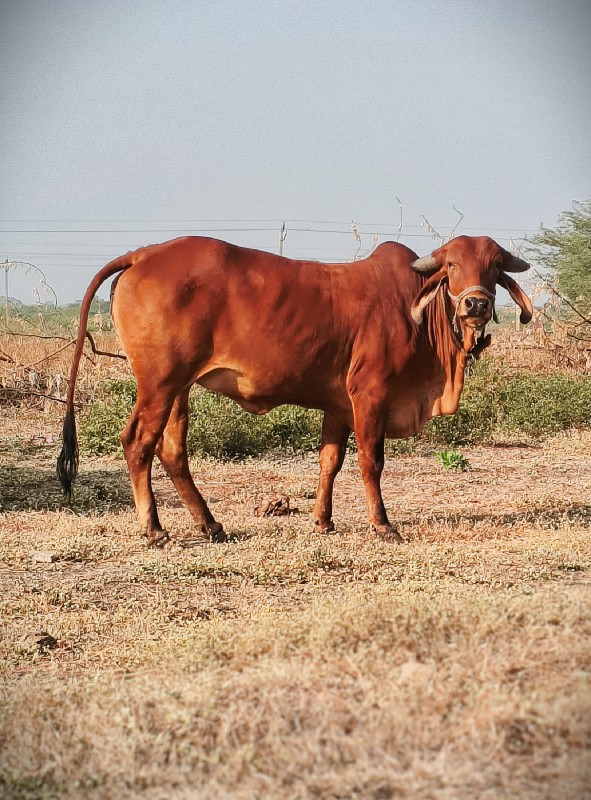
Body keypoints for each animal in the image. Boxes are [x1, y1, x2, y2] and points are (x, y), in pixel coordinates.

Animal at [57, 231, 536, 544]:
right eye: (451, 265)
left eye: (494, 266)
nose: (475, 304)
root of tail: (142, 254)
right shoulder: (370, 395)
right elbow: (371, 462)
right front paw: (382, 525)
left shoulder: (339, 406)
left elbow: (329, 462)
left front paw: (322, 521)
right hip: (159, 382)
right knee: (137, 442)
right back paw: (154, 529)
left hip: (180, 388)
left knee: (172, 451)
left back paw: (210, 525)